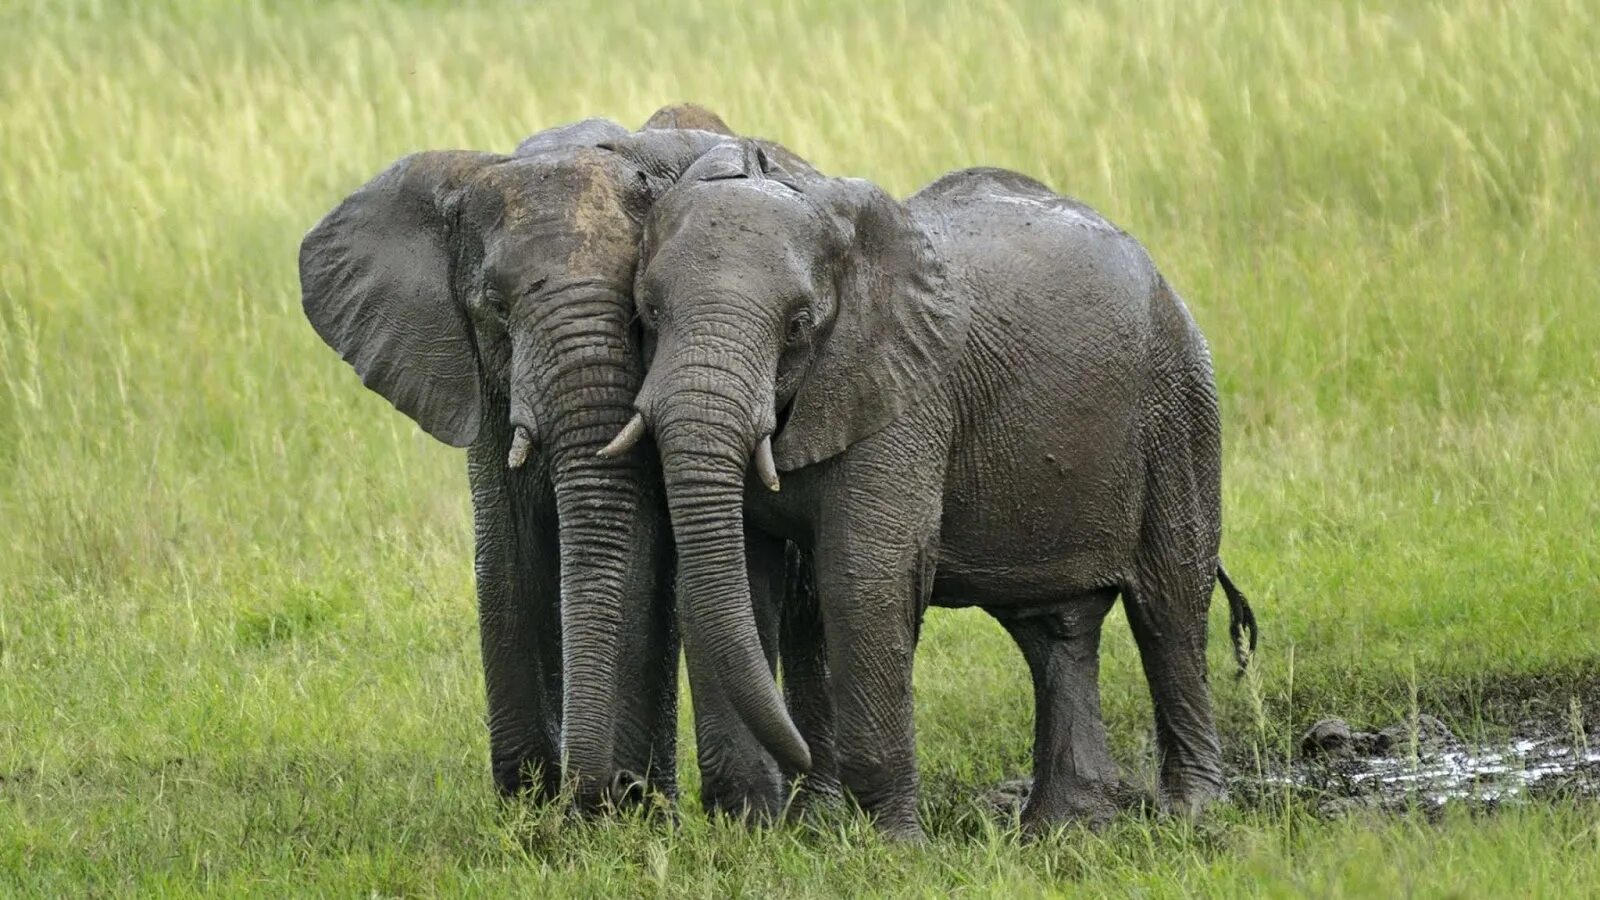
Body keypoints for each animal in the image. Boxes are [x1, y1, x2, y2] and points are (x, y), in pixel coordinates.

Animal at [296, 103, 832, 807]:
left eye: (638, 312)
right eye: (496, 309)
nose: (601, 789)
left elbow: (636, 550)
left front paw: (613, 807)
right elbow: (505, 555)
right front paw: (527, 803)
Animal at [595, 138, 1254, 832]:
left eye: (799, 323)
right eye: (648, 312)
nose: (802, 758)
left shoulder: (905, 397)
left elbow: (863, 578)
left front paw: (889, 842)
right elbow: (736, 581)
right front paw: (748, 832)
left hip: (1178, 405)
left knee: (1169, 603)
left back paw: (1191, 815)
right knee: (1054, 629)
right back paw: (1064, 830)